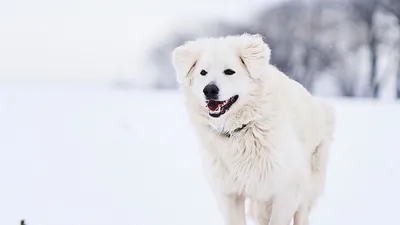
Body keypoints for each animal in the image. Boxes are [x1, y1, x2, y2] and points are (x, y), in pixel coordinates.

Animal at [171, 33, 334, 225]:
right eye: (203, 72)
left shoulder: (286, 190)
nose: (209, 90)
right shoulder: (229, 194)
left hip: (305, 187)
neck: (242, 129)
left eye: (229, 71)